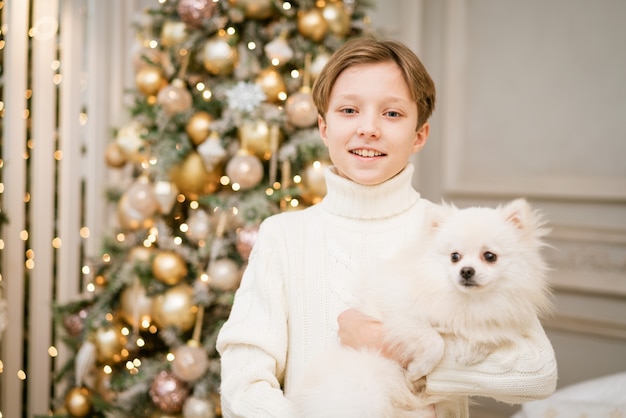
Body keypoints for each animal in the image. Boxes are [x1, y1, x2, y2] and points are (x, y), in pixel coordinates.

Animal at [288, 198, 552, 416]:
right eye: (454, 257)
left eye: (490, 256)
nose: (466, 271)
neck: (466, 302)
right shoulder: (401, 316)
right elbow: (433, 341)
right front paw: (418, 369)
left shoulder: (502, 318)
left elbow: (491, 334)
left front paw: (472, 350)